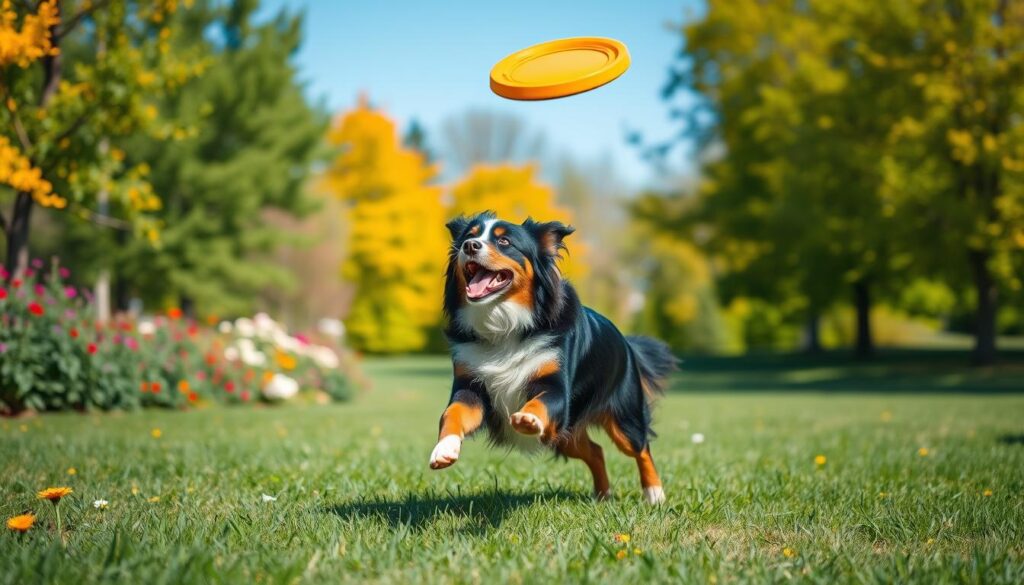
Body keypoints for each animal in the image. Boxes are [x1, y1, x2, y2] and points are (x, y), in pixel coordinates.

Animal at [428, 211, 675, 504]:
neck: (505, 326)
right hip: (564, 434)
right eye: (469, 236)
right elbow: (452, 413)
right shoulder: (470, 386)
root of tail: (626, 342)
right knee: (595, 450)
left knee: (641, 447)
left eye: (504, 241)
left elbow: (542, 401)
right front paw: (444, 449)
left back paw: (655, 494)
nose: (470, 246)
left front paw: (527, 419)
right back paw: (602, 495)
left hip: (623, 416)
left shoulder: (556, 387)